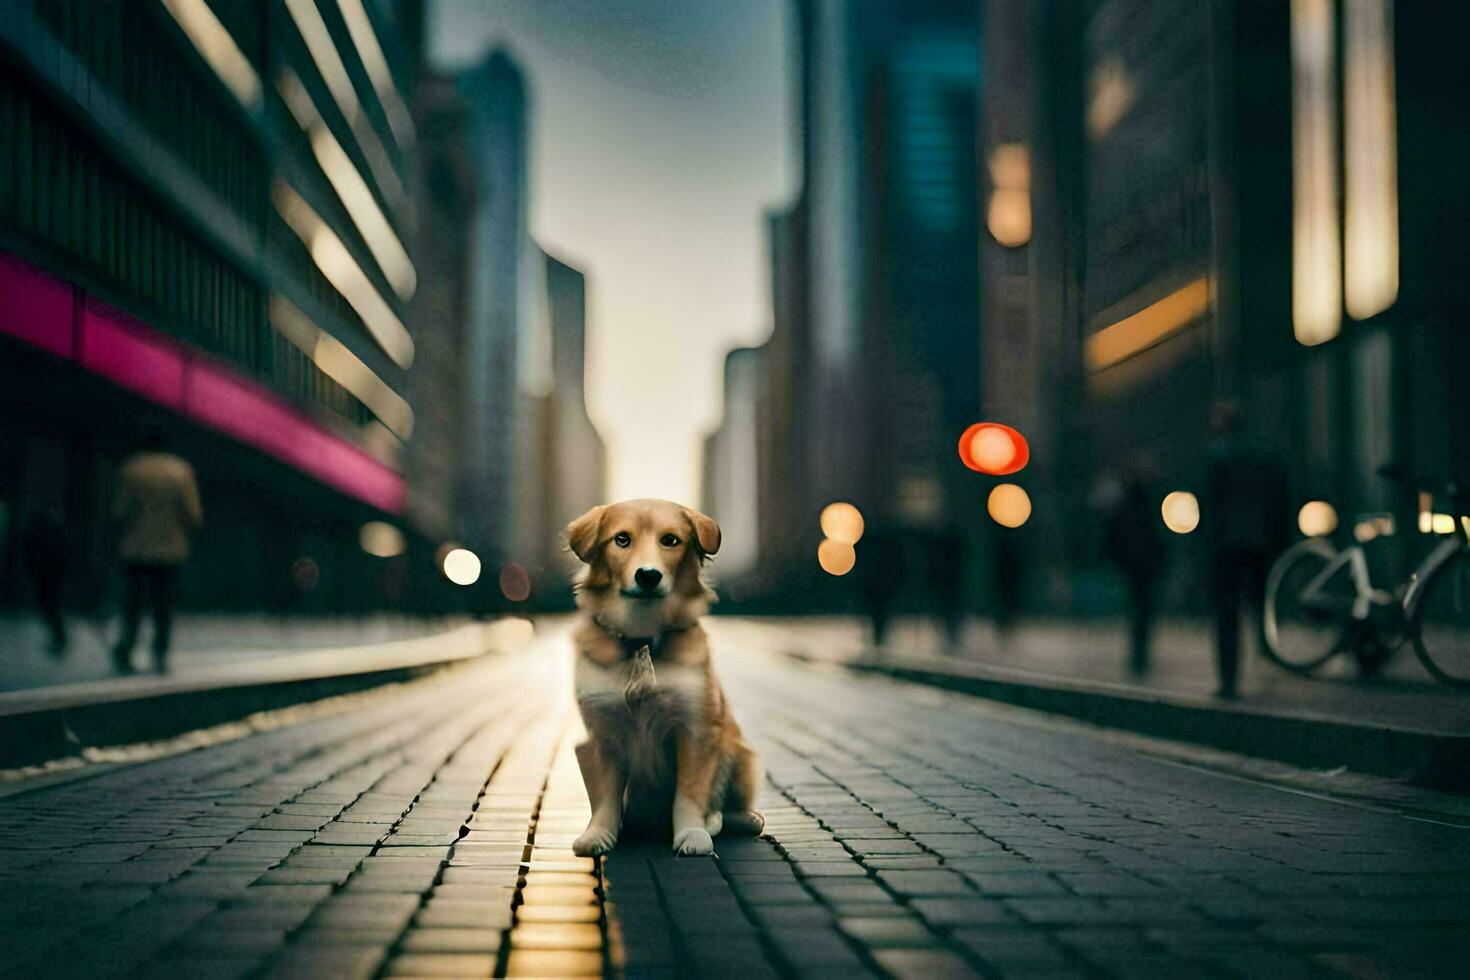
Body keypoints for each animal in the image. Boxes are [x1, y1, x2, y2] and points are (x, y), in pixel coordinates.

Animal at [564, 502, 764, 852]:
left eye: (670, 540)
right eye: (621, 539)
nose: (648, 575)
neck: (642, 636)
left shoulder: (695, 727)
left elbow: (690, 791)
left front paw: (692, 833)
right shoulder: (601, 730)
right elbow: (605, 795)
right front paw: (598, 834)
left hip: (740, 754)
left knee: (741, 815)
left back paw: (718, 820)